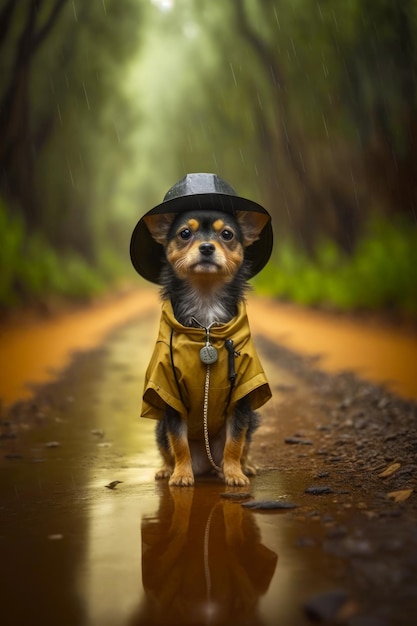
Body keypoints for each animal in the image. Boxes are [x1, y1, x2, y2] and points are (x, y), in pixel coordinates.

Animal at [141, 207, 272, 486]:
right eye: (184, 233)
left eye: (227, 234)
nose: (207, 247)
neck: (206, 304)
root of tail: (206, 463)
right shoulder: (171, 396)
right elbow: (179, 442)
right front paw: (181, 475)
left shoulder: (241, 399)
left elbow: (235, 442)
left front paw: (234, 474)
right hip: (159, 429)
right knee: (168, 448)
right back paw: (168, 469)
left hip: (252, 419)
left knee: (242, 446)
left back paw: (244, 466)